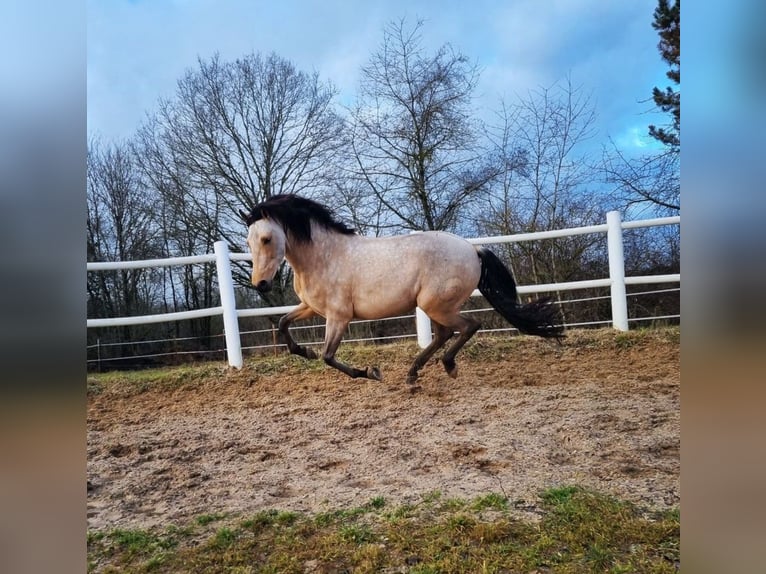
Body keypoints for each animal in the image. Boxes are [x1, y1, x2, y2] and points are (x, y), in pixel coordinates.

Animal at [240, 195, 564, 388]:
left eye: (266, 239)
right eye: (248, 242)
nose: (261, 284)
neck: (323, 256)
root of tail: (473, 248)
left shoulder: (339, 316)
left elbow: (328, 357)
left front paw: (371, 372)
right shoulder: (312, 308)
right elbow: (284, 324)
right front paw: (302, 351)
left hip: (436, 304)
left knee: (470, 325)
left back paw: (447, 366)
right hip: (432, 305)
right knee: (446, 333)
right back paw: (413, 373)